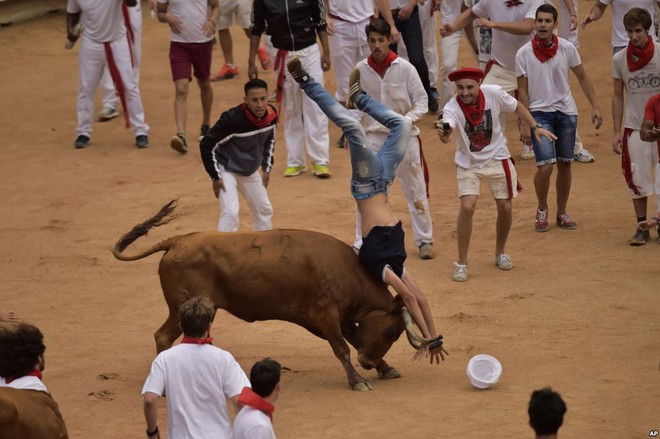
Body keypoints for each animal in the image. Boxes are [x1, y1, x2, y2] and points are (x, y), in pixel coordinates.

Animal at [112, 201, 428, 390]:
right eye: (391, 332)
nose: (368, 362)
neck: (346, 270)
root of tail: (176, 241)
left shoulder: (338, 318)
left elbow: (353, 339)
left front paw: (385, 368)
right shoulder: (326, 315)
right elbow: (342, 348)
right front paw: (358, 380)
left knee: (163, 335)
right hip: (183, 306)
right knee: (163, 336)